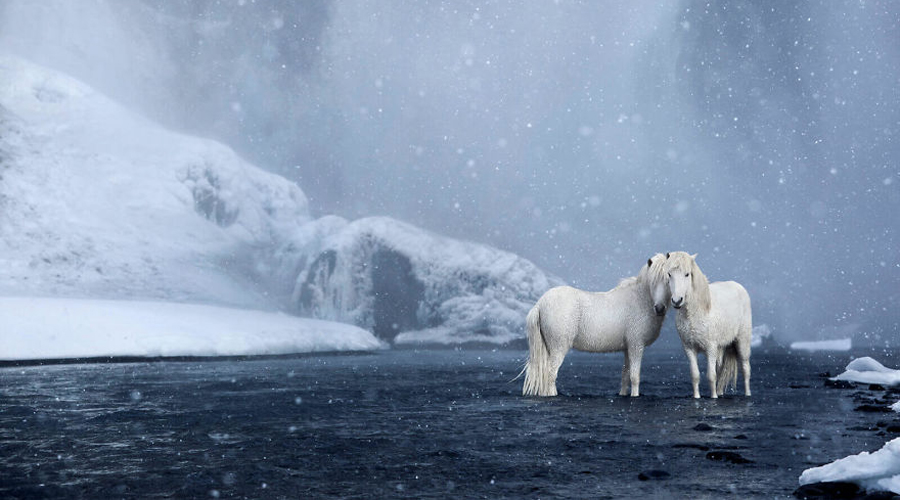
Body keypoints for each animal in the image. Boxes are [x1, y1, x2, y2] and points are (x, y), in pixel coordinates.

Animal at [520, 256, 668, 396]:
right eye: (653, 282)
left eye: (668, 280)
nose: (660, 308)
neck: (640, 299)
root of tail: (540, 303)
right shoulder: (637, 345)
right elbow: (635, 376)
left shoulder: (628, 348)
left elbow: (625, 375)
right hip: (558, 347)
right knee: (551, 374)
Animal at [660, 252, 752, 400]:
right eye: (669, 274)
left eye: (687, 274)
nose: (677, 301)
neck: (695, 313)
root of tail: (739, 287)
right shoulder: (689, 348)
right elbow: (695, 374)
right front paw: (697, 397)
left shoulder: (711, 348)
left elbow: (711, 375)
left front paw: (713, 398)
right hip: (722, 347)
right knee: (721, 369)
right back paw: (720, 392)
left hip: (742, 341)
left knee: (745, 368)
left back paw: (747, 394)